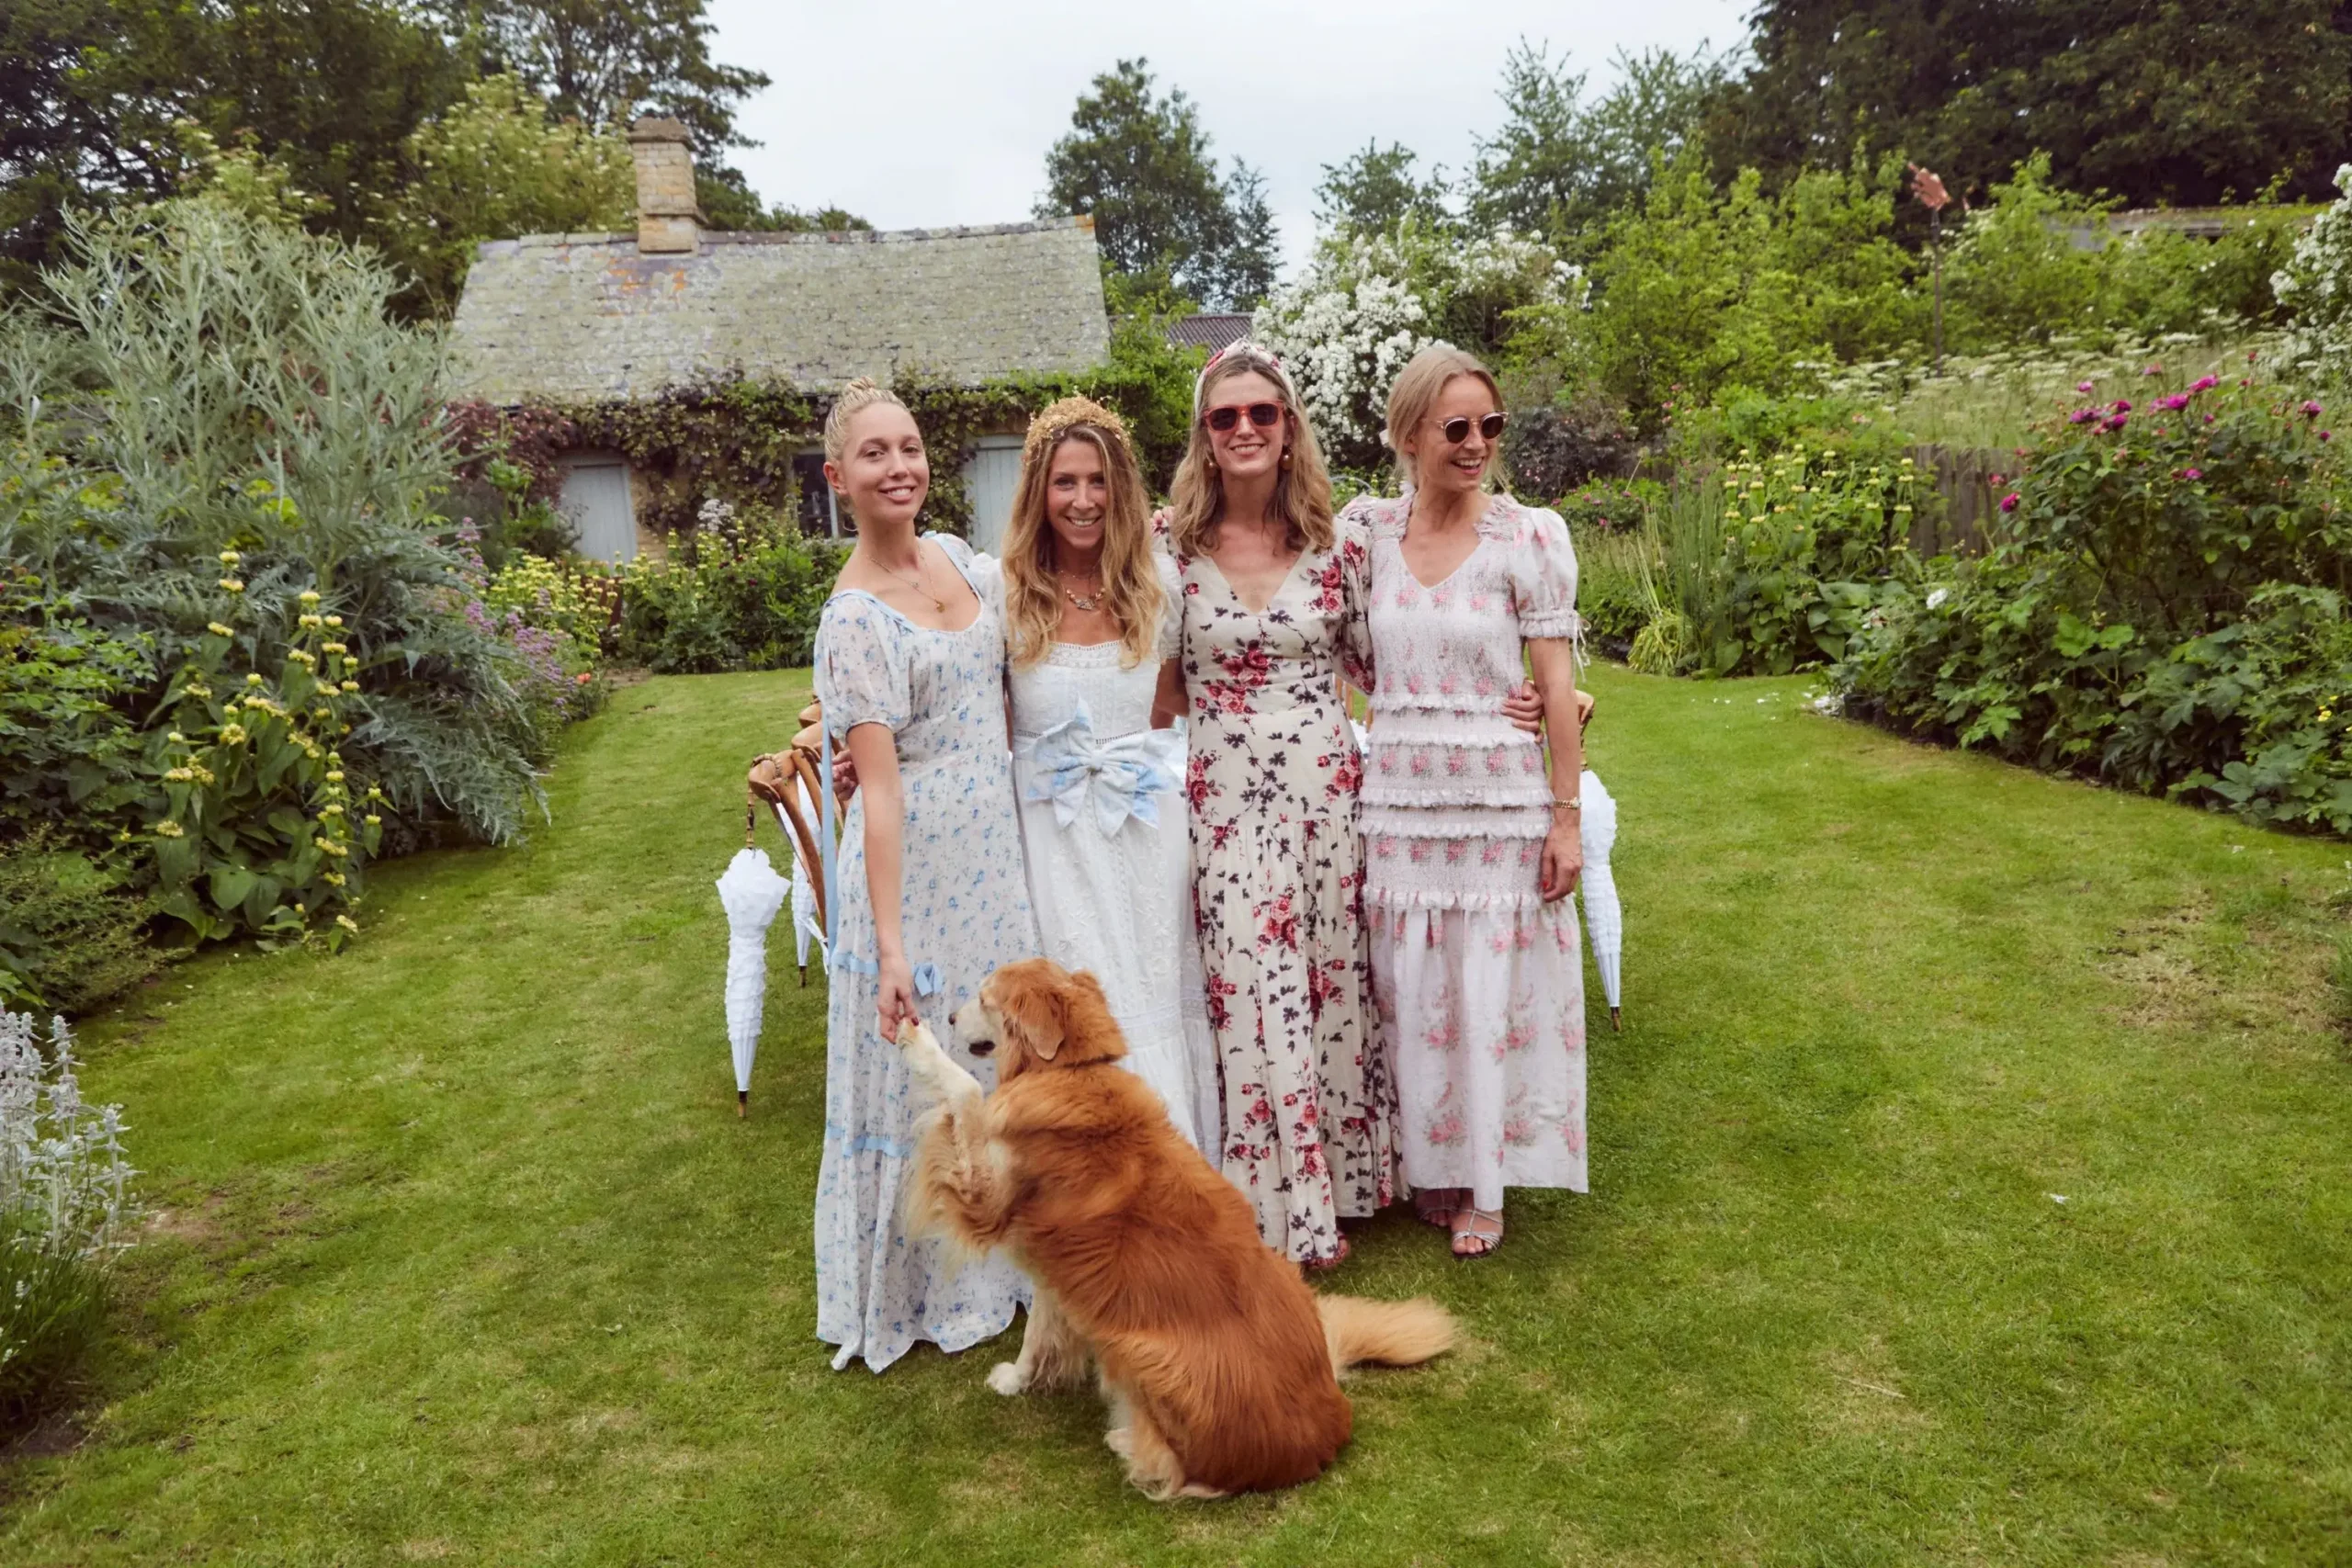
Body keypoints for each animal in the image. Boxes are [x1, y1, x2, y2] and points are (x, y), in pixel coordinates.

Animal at [893, 949, 1448, 1504]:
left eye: (984, 999)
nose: (947, 1017)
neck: (1072, 1072)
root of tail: (1323, 1439)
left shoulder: (988, 1200)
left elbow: (967, 1091)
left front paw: (918, 1043)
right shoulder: (1055, 1268)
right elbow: (1039, 1331)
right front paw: (1019, 1378)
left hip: (1143, 1351)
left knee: (1177, 1470)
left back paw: (1128, 1440)